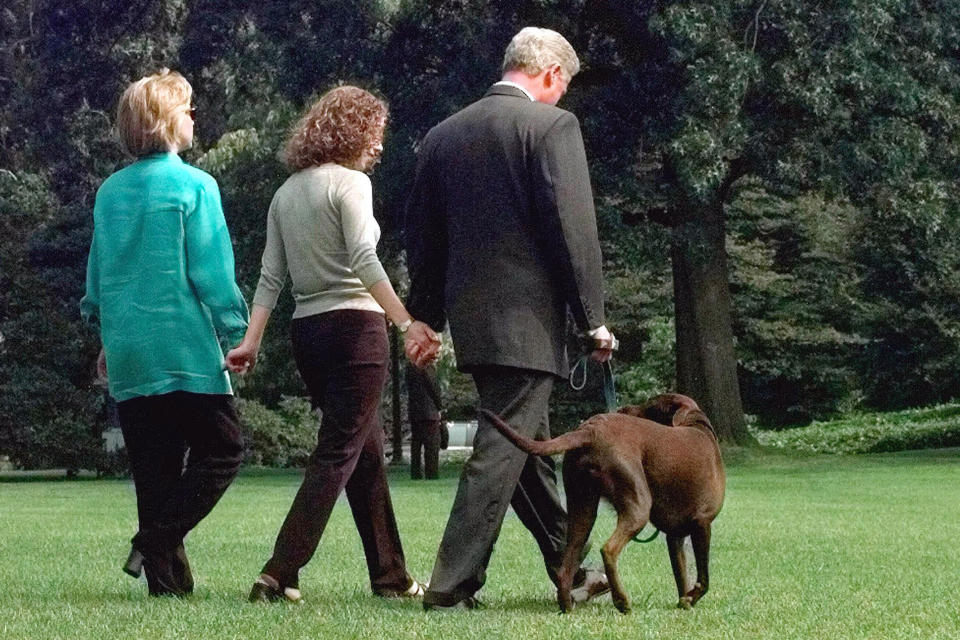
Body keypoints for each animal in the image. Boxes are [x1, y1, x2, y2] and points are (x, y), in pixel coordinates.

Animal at [484, 392, 724, 612]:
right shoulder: (702, 523)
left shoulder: (675, 535)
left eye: (650, 407)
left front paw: (685, 602)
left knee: (565, 567)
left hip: (582, 509)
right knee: (608, 549)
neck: (699, 426)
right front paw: (692, 597)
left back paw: (567, 607)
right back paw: (621, 601)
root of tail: (589, 430)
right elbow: (704, 578)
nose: (623, 408)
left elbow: (681, 576)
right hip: (637, 505)